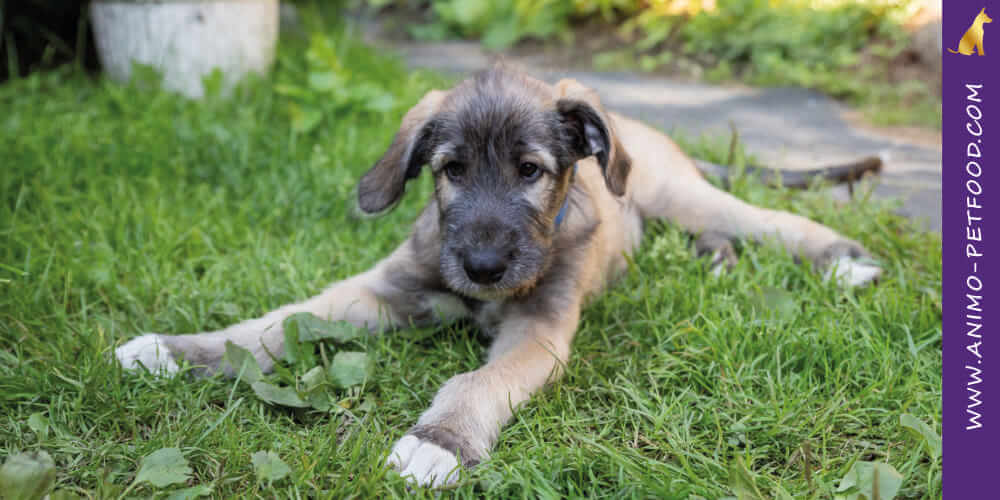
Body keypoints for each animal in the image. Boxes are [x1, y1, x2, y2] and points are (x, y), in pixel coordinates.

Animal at [119, 64, 884, 486]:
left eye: (531, 171)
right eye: (452, 169)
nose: (482, 267)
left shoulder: (538, 332)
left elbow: (476, 380)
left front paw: (439, 441)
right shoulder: (381, 289)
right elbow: (275, 325)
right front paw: (177, 350)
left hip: (678, 193)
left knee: (761, 217)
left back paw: (840, 256)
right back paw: (716, 259)